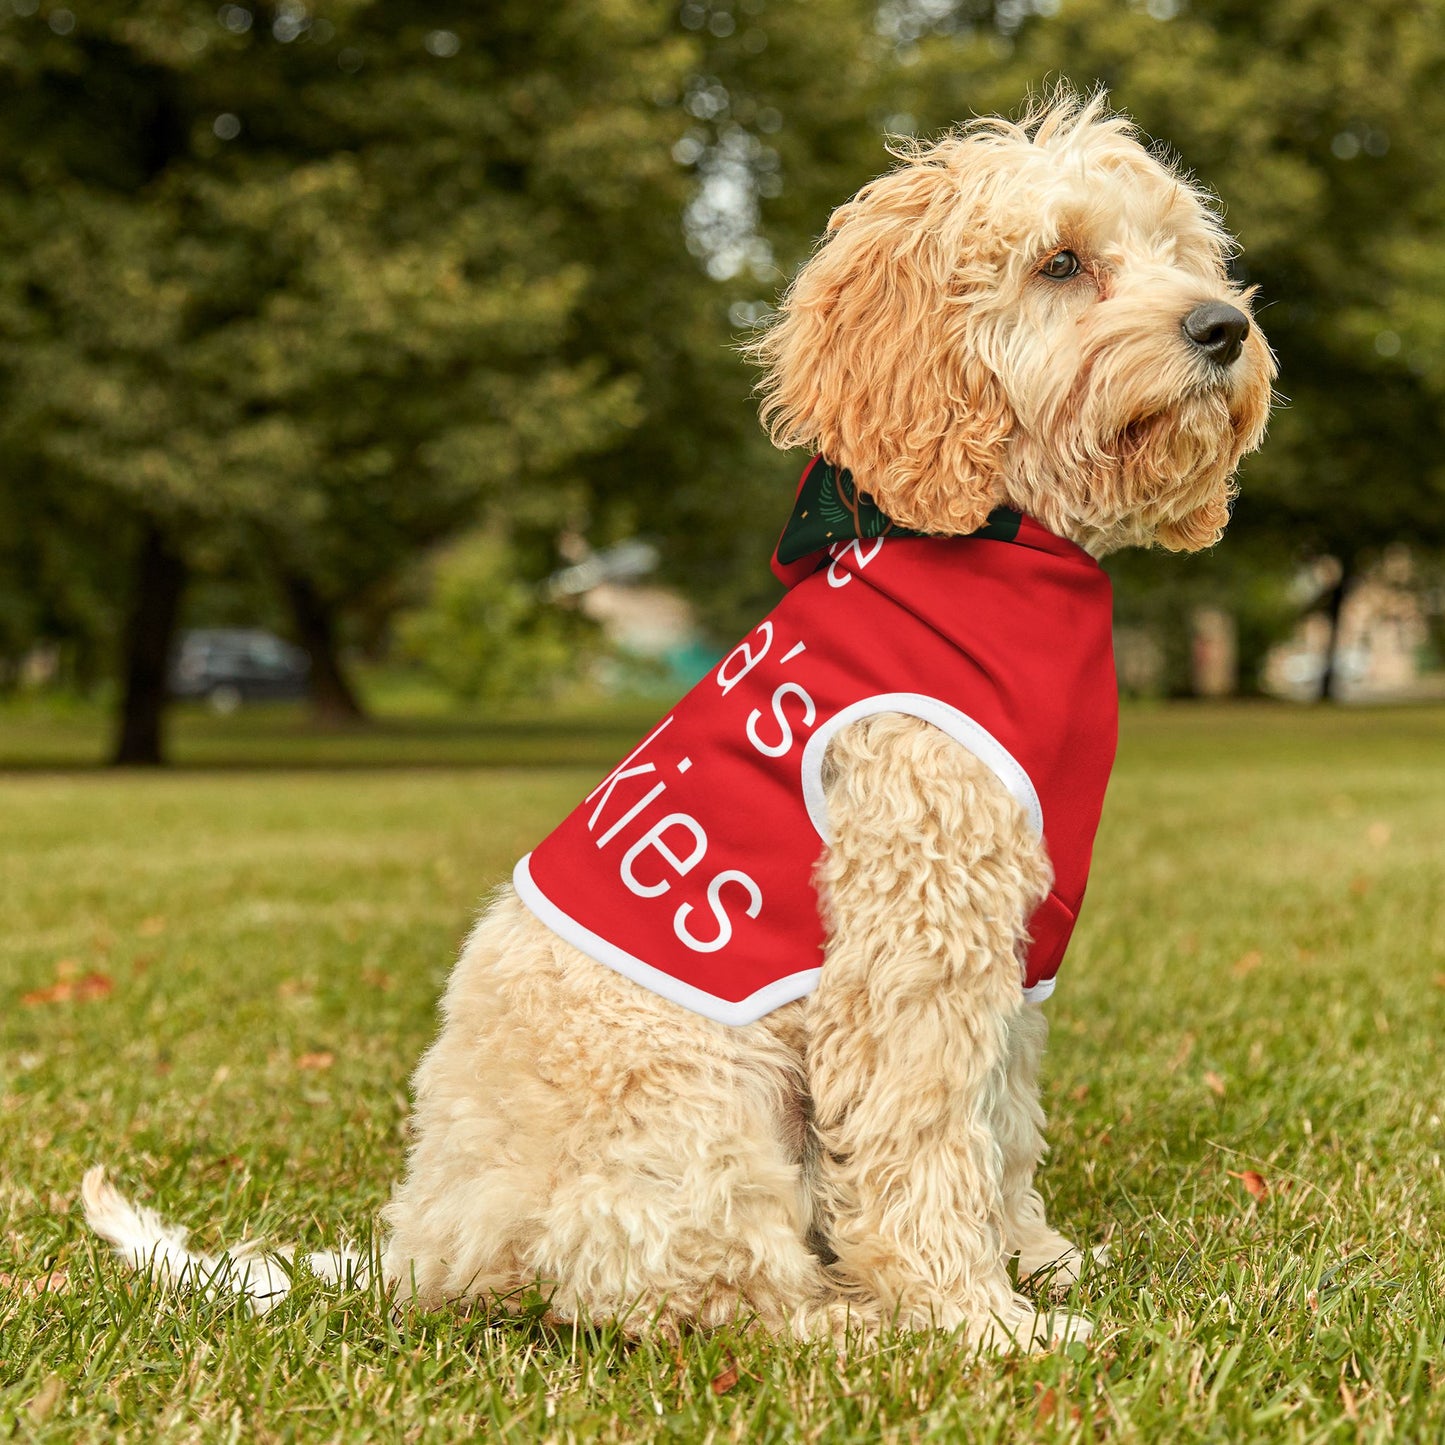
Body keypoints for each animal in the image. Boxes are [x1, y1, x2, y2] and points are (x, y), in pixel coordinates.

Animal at [84, 90, 1271, 1352]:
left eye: (1181, 252)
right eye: (1059, 261)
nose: (1221, 327)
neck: (998, 542)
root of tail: (424, 1247)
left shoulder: (1011, 940)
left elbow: (1000, 1122)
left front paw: (1035, 1260)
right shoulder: (914, 935)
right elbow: (924, 1139)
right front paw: (977, 1318)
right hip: (703, 1104)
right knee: (699, 1291)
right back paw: (852, 1322)